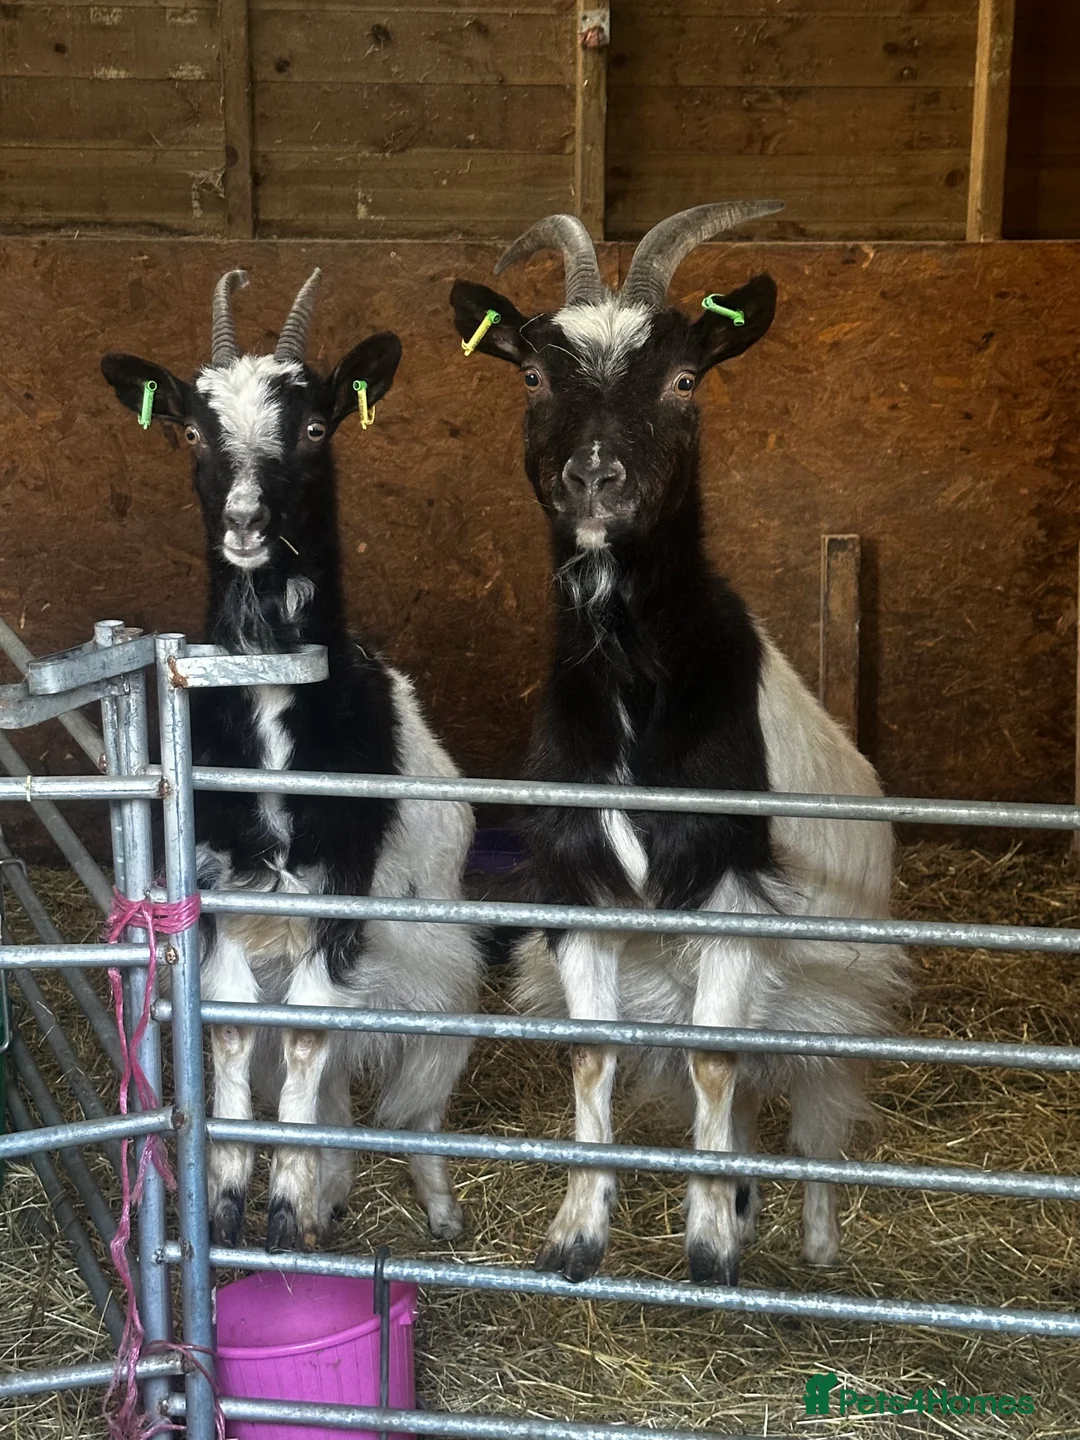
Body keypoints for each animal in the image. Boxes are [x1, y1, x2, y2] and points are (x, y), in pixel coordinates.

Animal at [103, 270, 483, 1251]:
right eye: (191, 432)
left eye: (315, 428)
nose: (245, 523)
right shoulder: (217, 892)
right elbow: (239, 1033)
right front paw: (233, 1195)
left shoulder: (339, 893)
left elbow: (309, 1037)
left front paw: (284, 1203)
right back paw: (332, 1191)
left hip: (434, 967)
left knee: (410, 1097)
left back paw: (428, 1206)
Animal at [451, 208, 910, 1286]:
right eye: (531, 377)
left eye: (686, 379)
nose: (595, 479)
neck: (636, 691)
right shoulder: (580, 891)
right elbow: (594, 1055)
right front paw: (578, 1233)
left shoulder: (731, 892)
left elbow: (711, 1060)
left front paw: (707, 1248)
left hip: (836, 1000)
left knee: (813, 1120)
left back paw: (818, 1247)